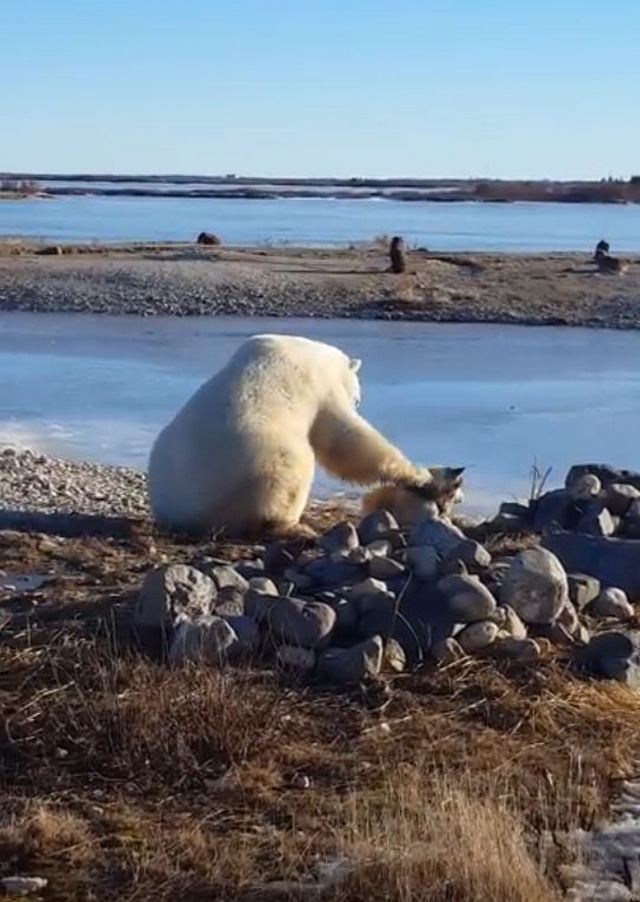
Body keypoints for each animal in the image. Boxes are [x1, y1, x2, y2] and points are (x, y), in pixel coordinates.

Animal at [149, 338, 460, 536]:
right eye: (357, 395)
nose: (358, 401)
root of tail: (182, 513)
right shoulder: (319, 385)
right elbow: (346, 440)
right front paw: (423, 478)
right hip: (252, 463)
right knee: (293, 468)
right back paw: (292, 526)